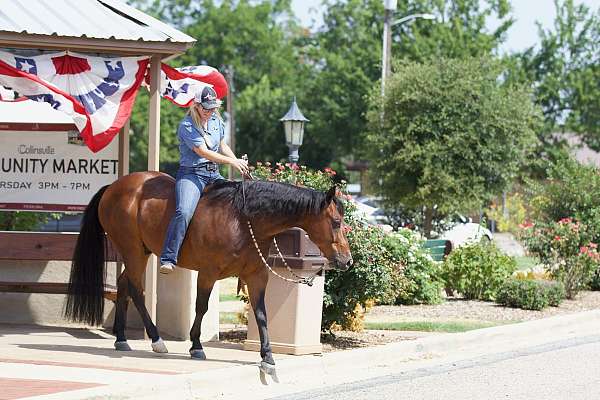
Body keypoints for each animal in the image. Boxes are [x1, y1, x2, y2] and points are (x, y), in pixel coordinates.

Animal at [63, 171, 354, 376]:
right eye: (336, 222)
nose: (347, 260)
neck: (244, 220)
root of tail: (114, 187)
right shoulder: (208, 273)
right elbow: (201, 307)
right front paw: (196, 345)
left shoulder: (257, 276)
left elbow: (261, 313)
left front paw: (268, 356)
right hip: (133, 251)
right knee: (135, 289)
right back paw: (156, 340)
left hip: (138, 253)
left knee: (124, 285)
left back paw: (122, 338)